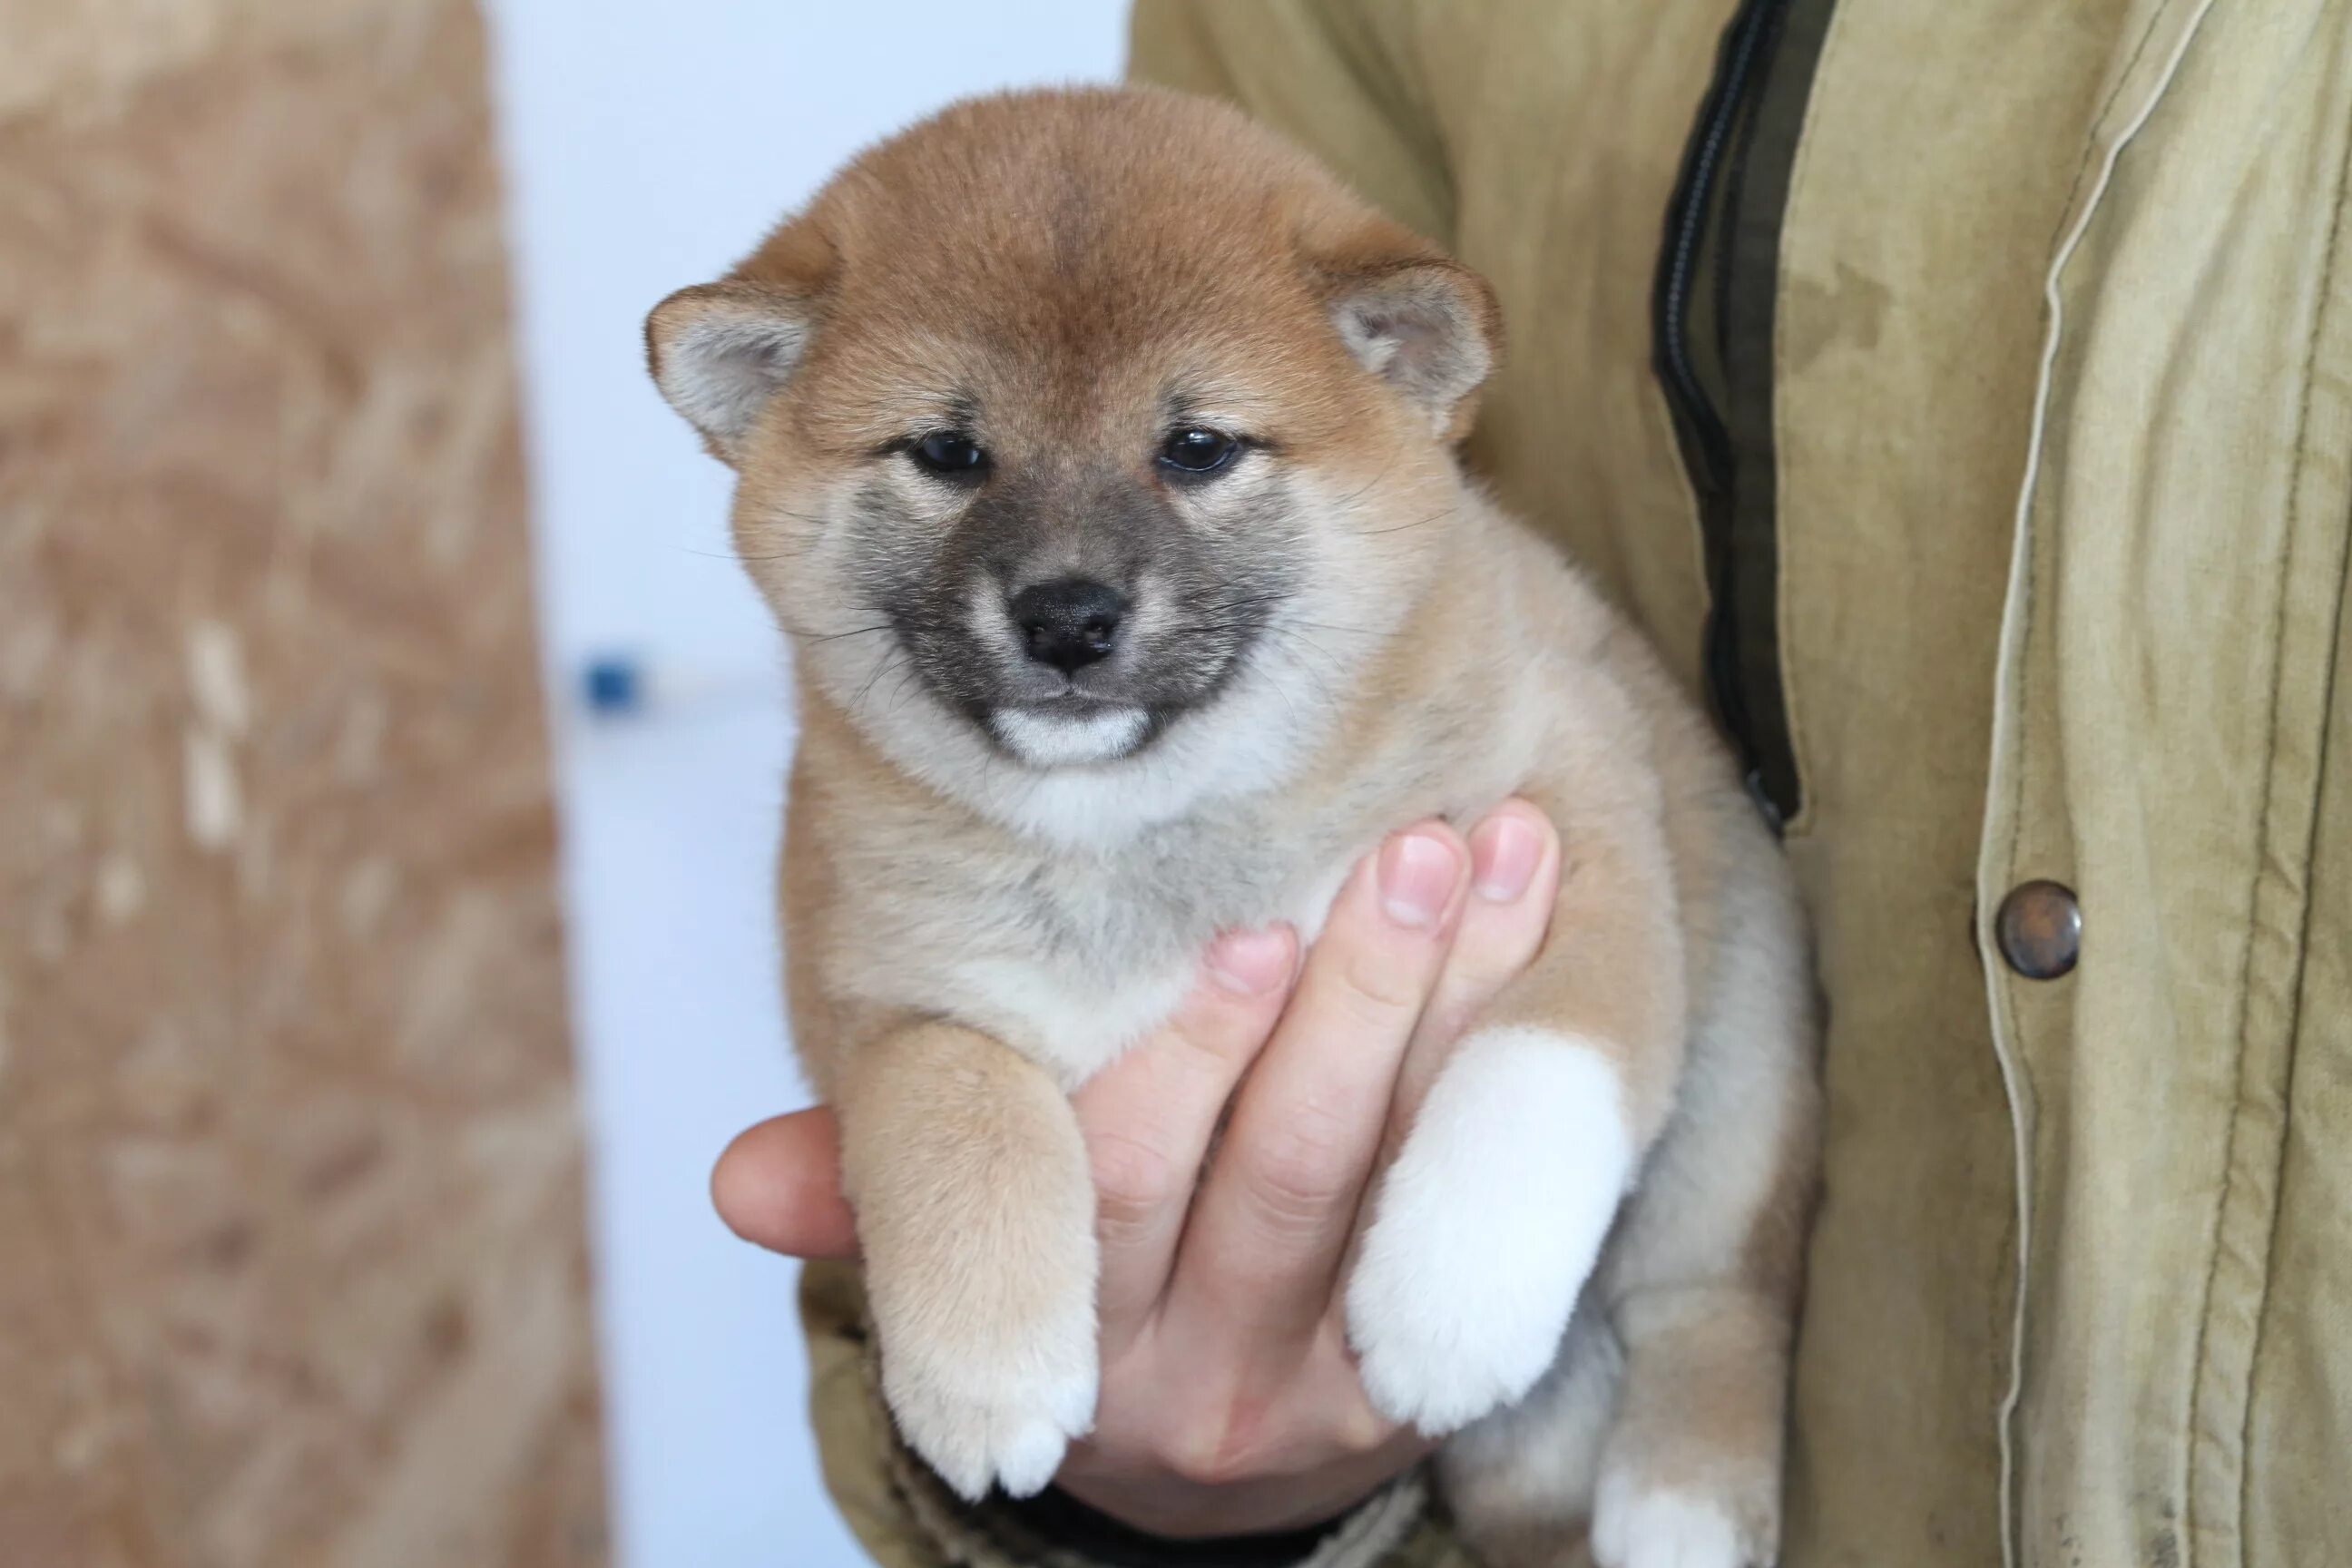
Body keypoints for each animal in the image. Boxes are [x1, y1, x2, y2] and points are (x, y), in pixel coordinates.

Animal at [644, 88, 1816, 1568]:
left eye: (1196, 447)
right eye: (950, 453)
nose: (1068, 618)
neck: (1142, 838)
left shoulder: (1573, 800)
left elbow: (1541, 1057)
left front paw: (1453, 1295)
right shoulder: (880, 997)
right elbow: (951, 1108)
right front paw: (983, 1369)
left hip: (1739, 1100)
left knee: (1712, 1314)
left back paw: (1678, 1511)